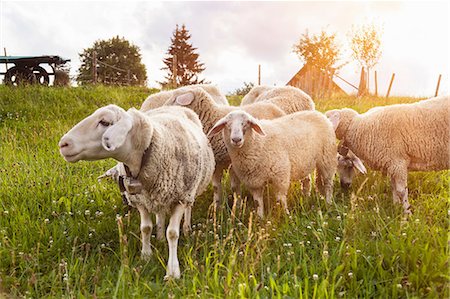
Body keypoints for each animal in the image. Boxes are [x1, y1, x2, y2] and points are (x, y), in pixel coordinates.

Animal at [58, 105, 216, 278]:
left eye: (104, 122)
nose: (63, 144)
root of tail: (174, 106)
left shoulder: (180, 197)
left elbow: (173, 233)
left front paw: (173, 271)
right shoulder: (140, 200)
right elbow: (145, 228)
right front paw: (146, 255)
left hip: (191, 189)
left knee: (188, 208)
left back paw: (186, 228)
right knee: (160, 213)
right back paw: (160, 236)